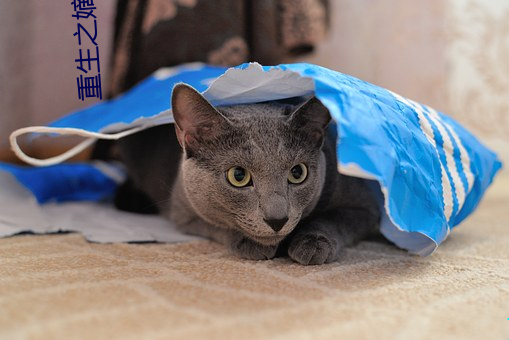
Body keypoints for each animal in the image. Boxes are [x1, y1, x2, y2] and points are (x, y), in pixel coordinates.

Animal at [114, 83, 378, 264]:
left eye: (297, 173)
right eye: (238, 176)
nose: (277, 219)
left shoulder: (366, 206)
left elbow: (334, 219)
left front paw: (312, 243)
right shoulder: (183, 212)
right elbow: (216, 225)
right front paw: (252, 243)